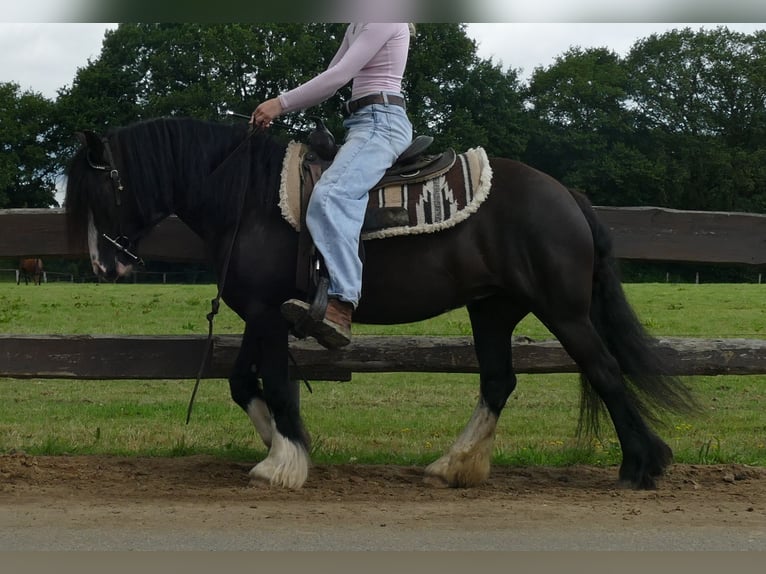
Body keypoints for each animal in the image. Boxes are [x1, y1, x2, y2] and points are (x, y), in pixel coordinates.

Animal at [65, 117, 697, 490]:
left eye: (100, 188)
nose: (105, 266)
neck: (249, 198)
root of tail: (565, 195)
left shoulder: (268, 316)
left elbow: (276, 384)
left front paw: (285, 462)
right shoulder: (262, 313)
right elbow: (243, 382)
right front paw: (278, 443)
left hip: (563, 310)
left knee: (605, 370)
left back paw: (642, 465)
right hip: (492, 308)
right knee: (498, 381)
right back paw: (454, 465)